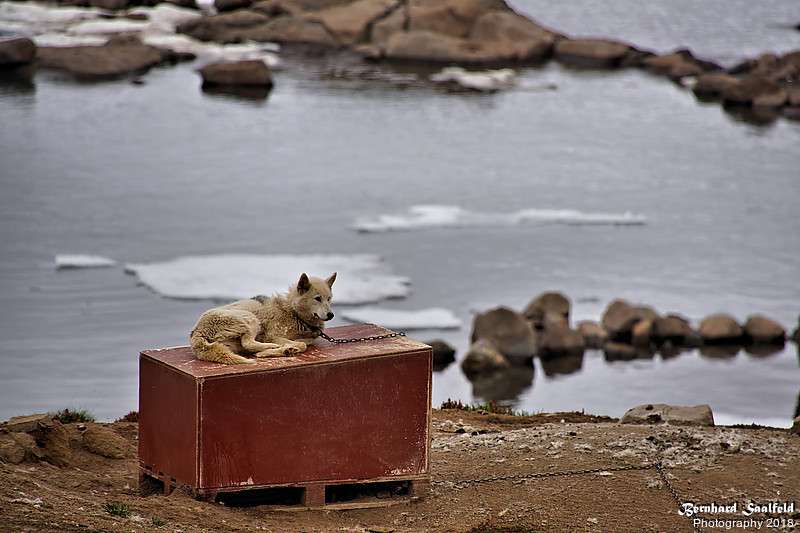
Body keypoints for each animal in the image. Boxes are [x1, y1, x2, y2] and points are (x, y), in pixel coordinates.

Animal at [191, 272, 338, 364]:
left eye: (329, 299)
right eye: (317, 299)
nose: (331, 315)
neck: (293, 312)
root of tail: (196, 333)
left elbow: (305, 342)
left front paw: (287, 347)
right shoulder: (270, 335)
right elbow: (302, 345)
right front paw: (282, 346)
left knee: (249, 348)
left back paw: (283, 351)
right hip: (250, 319)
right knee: (248, 343)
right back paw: (273, 348)